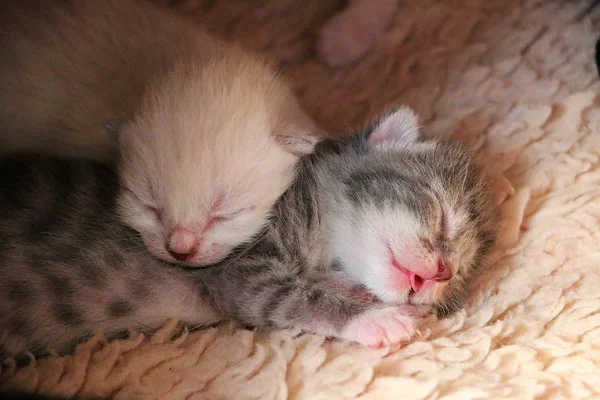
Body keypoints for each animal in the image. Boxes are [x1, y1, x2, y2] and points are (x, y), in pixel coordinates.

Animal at [0, 108, 496, 356]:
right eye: (439, 212)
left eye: (459, 274)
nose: (441, 271)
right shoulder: (235, 263)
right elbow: (292, 297)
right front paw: (375, 318)